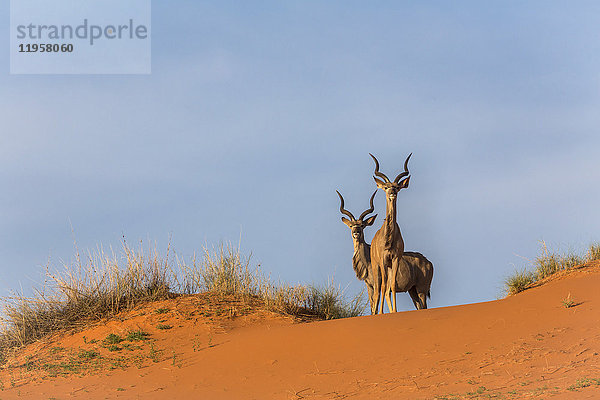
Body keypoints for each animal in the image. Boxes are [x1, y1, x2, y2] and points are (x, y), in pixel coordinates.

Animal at [370, 152, 412, 312]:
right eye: (387, 187)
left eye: (397, 187)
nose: (392, 192)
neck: (389, 240)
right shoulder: (382, 259)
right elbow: (382, 286)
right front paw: (382, 312)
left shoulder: (395, 258)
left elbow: (392, 285)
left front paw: (394, 311)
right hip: (376, 266)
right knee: (378, 289)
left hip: (387, 266)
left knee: (387, 287)